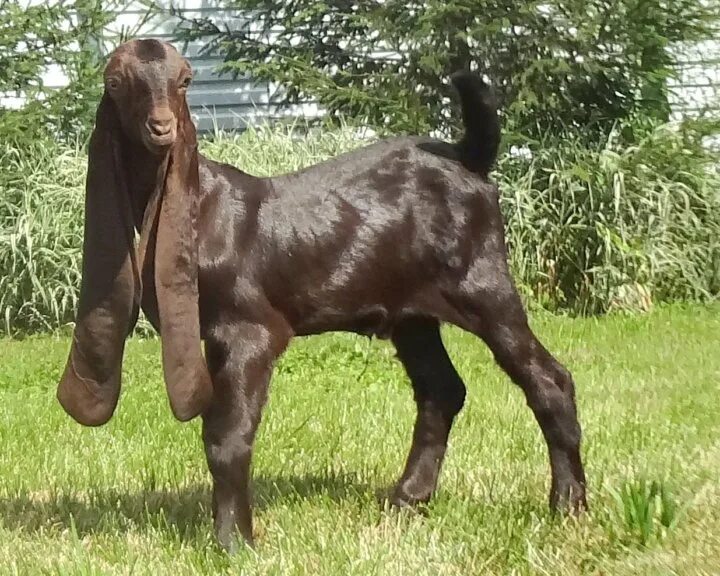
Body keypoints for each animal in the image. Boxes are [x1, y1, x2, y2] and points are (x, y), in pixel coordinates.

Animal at [54, 38, 584, 552]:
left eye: (185, 80)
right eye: (115, 82)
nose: (161, 127)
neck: (202, 207)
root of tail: (469, 158)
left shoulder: (250, 329)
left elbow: (227, 435)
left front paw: (234, 542)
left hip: (483, 283)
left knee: (548, 380)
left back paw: (568, 505)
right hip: (411, 313)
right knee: (441, 390)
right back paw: (407, 499)